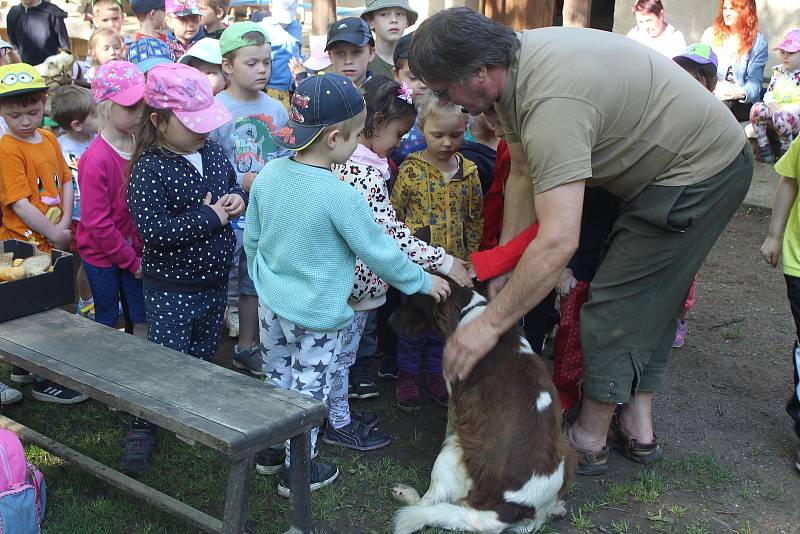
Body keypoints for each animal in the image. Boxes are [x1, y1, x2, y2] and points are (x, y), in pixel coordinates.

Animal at [390, 282, 572, 532]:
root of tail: (510, 507)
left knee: (428, 503)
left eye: (410, 302)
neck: (470, 309)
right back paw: (556, 508)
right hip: (566, 449)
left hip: (452, 451)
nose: (389, 321)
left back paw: (405, 494)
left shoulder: (456, 403)